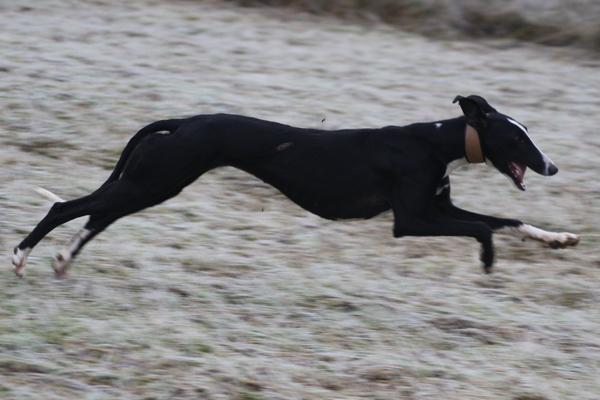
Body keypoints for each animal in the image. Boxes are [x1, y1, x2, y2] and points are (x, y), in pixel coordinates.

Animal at [10, 94, 580, 276]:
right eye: (517, 137)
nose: (552, 167)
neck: (434, 143)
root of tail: (185, 121)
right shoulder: (413, 221)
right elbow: (483, 230)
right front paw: (487, 260)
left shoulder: (435, 211)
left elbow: (507, 220)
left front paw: (558, 238)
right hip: (155, 181)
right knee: (68, 207)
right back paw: (21, 255)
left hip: (152, 183)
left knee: (96, 215)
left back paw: (60, 259)